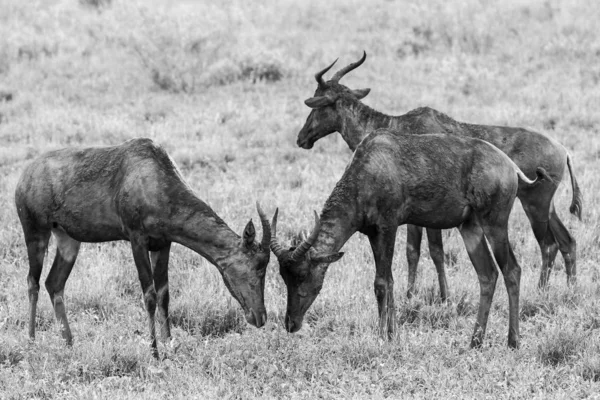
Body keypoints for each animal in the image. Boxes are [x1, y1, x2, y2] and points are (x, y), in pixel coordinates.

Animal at [14, 138, 272, 356]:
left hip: (68, 240)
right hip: (36, 233)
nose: (259, 317)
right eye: (253, 267)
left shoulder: (163, 244)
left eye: (264, 268)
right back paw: (31, 342)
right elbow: (149, 295)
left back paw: (69, 343)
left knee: (54, 284)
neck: (152, 173)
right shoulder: (137, 240)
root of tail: (25, 175)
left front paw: (170, 345)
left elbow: (164, 293)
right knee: (33, 282)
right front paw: (154, 351)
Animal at [270, 130, 552, 346]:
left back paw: (512, 342)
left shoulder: (388, 226)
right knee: (488, 274)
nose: (291, 324)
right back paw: (474, 342)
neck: (371, 163)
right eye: (284, 276)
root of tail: (510, 166)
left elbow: (382, 282)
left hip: (495, 224)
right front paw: (392, 333)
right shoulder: (373, 233)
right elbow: (388, 281)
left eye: (304, 275)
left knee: (511, 270)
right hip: (470, 227)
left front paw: (383, 337)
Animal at [298, 50, 580, 300]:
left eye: (317, 101)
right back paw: (569, 290)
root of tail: (563, 150)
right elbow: (413, 250)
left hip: (534, 206)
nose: (301, 139)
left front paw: (442, 296)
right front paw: (411, 294)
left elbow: (432, 251)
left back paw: (541, 292)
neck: (397, 125)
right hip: (547, 207)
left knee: (548, 245)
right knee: (567, 242)